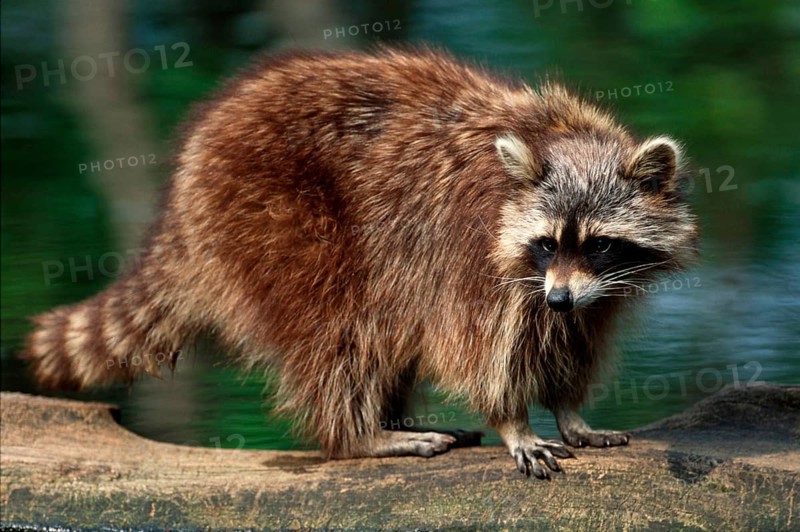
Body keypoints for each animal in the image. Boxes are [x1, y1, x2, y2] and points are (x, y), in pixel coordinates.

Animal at [23, 46, 698, 479]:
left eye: (598, 244)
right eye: (548, 243)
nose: (558, 296)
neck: (564, 137)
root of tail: (187, 177)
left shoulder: (595, 287)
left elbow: (576, 335)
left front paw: (569, 407)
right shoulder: (472, 250)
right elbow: (479, 345)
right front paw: (514, 420)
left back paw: (389, 418)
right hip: (271, 212)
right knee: (341, 327)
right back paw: (359, 435)